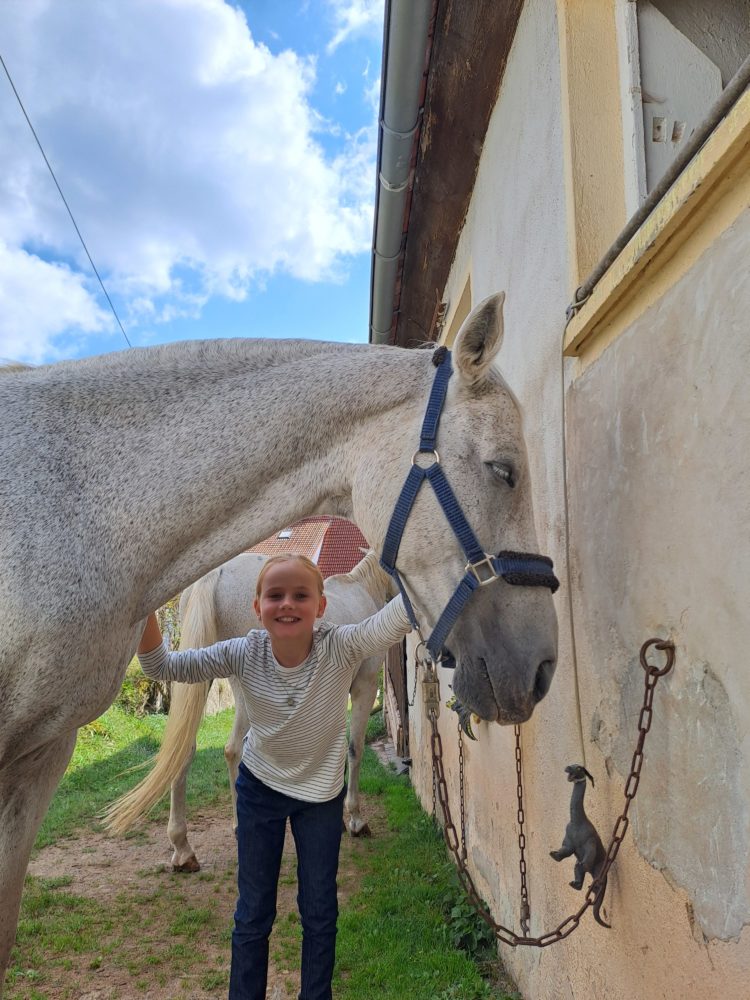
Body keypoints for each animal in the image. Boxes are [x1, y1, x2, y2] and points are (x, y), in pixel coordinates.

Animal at [106, 548, 400, 868]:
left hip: (201, 675)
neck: (362, 587)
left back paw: (185, 847)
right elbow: (354, 749)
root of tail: (216, 572)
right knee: (235, 748)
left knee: (189, 749)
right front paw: (355, 820)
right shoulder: (364, 686)